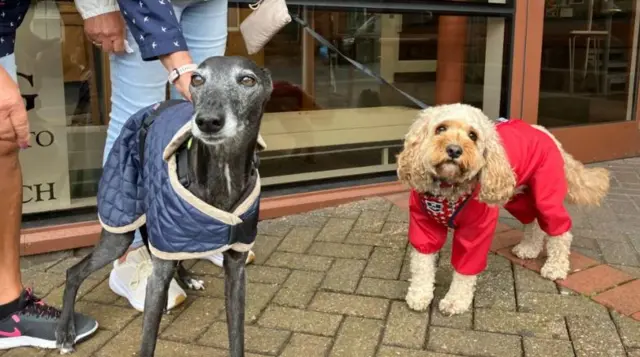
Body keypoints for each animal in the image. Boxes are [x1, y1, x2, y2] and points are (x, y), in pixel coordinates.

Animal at [55, 55, 272, 354]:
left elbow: (236, 338)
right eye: (197, 79)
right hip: (120, 231)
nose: (207, 121)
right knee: (74, 272)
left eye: (247, 80)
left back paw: (187, 278)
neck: (222, 170)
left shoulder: (236, 268)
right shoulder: (158, 274)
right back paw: (66, 332)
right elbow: (147, 342)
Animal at [398, 103, 612, 314]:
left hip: (546, 195)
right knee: (534, 222)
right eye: (440, 129)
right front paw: (420, 294)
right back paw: (529, 248)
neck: (449, 188)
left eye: (473, 135)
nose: (454, 150)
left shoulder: (477, 230)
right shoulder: (422, 223)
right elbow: (422, 263)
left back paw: (556, 266)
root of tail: (545, 132)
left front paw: (455, 301)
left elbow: (465, 268)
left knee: (560, 231)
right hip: (518, 197)